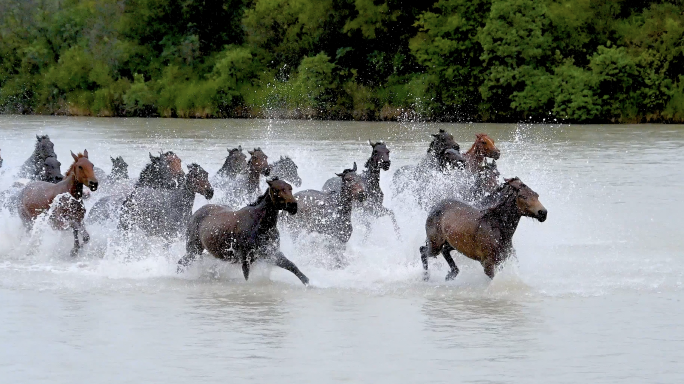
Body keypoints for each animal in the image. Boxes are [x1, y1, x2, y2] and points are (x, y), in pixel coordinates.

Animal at [176, 177, 308, 284]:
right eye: (277, 190)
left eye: (290, 188)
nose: (293, 206)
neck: (260, 225)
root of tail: (196, 213)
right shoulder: (246, 258)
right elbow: (247, 276)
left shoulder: (271, 253)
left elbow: (292, 266)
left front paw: (307, 282)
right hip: (193, 250)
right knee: (181, 262)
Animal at [420, 178, 548, 280]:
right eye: (523, 196)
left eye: (537, 195)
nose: (543, 213)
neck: (499, 228)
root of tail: (435, 206)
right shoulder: (488, 264)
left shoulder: (504, 259)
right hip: (435, 244)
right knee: (423, 250)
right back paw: (426, 277)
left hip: (452, 243)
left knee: (444, 250)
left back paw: (451, 274)